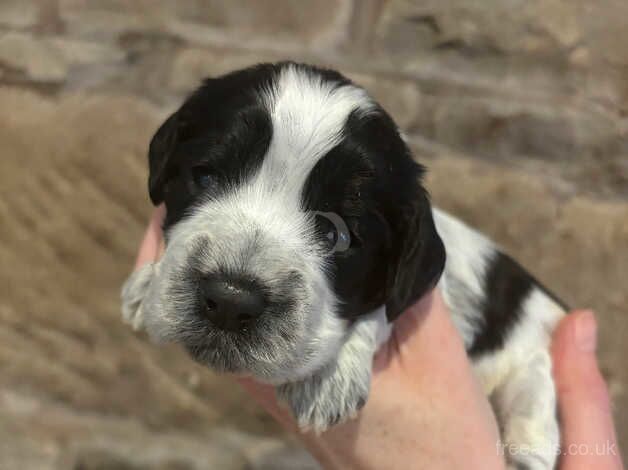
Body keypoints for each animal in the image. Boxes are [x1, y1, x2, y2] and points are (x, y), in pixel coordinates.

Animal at [120, 62, 568, 470]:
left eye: (337, 233)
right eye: (205, 178)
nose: (231, 302)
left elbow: (382, 309)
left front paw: (330, 379)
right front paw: (147, 285)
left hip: (531, 343)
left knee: (536, 386)